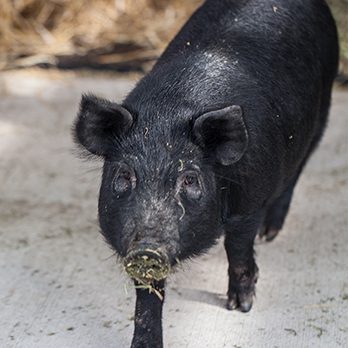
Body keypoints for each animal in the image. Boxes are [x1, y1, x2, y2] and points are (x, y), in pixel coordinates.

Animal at [72, 0, 338, 346]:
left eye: (189, 178)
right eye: (124, 176)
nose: (147, 247)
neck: (168, 112)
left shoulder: (249, 202)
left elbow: (237, 247)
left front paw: (241, 307)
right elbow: (148, 293)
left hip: (323, 110)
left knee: (297, 170)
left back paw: (270, 233)